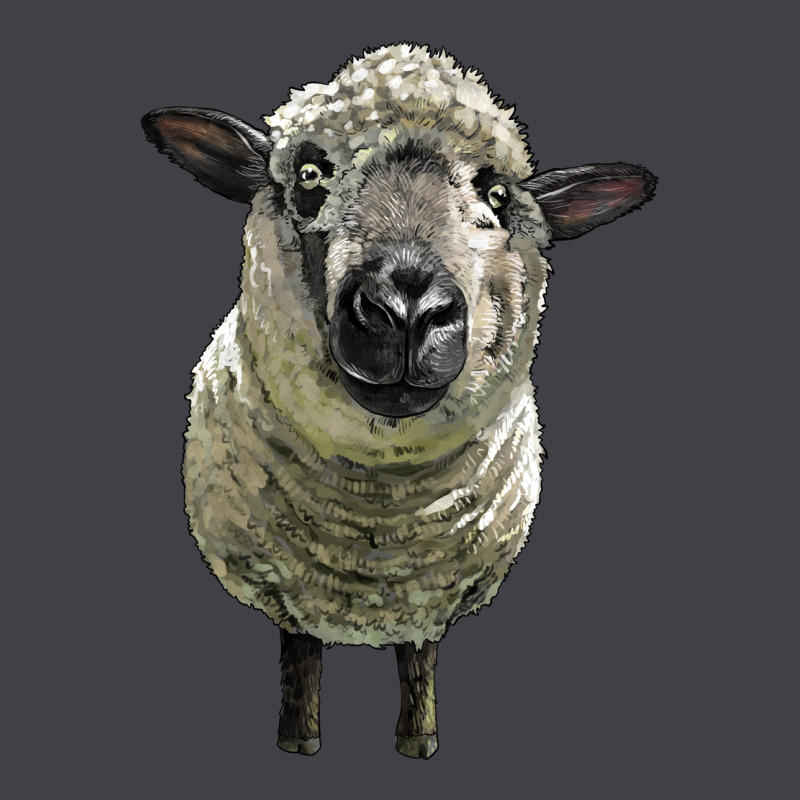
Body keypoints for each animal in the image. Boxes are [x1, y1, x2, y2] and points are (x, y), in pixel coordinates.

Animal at [142, 43, 655, 759]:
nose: (407, 310)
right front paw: (298, 740)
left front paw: (419, 743)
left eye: (497, 196)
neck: (376, 523)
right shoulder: (286, 584)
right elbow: (300, 654)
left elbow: (419, 662)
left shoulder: (431, 597)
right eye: (308, 174)